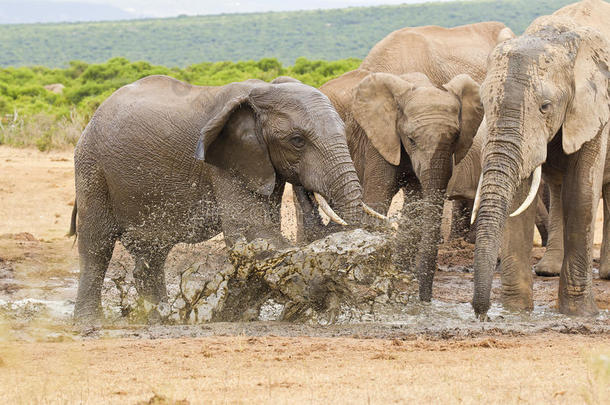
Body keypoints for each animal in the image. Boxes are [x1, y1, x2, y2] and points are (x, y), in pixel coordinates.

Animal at [67, 75, 380, 322]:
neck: (264, 91)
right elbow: (254, 234)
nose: (308, 190)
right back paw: (90, 323)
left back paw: (159, 318)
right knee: (97, 245)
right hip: (91, 168)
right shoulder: (226, 163)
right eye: (297, 141)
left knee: (152, 253)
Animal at [470, 0, 608, 318]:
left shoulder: (596, 108)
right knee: (557, 188)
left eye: (546, 106)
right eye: (483, 102)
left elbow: (582, 193)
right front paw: (515, 313)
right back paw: (548, 270)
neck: (556, 35)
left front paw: (580, 314)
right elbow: (521, 197)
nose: (481, 314)